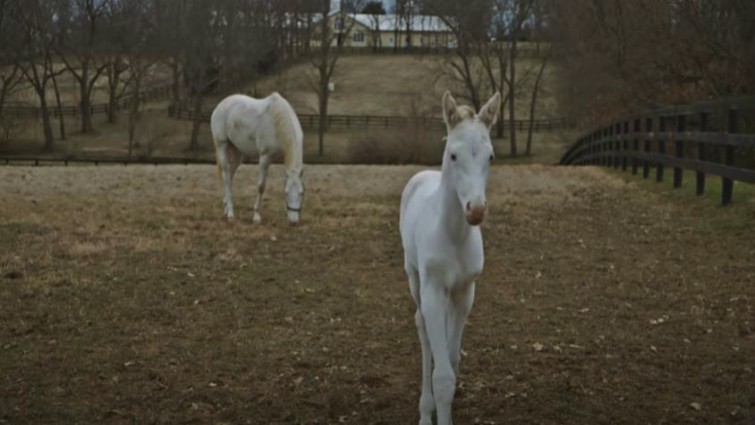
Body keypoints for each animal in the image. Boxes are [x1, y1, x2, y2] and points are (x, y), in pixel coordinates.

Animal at [210, 92, 304, 225]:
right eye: (286, 192)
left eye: (301, 193)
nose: (294, 221)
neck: (277, 122)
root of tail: (220, 105)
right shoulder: (265, 157)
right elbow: (261, 186)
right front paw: (256, 216)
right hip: (222, 145)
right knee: (227, 177)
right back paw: (230, 214)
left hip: (237, 152)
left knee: (229, 175)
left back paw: (226, 207)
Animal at [398, 90, 500, 424]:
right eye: (454, 155)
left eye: (490, 156)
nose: (476, 210)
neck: (454, 235)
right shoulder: (432, 289)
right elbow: (442, 377)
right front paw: (434, 409)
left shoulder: (465, 291)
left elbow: (452, 361)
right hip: (415, 277)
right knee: (422, 329)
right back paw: (424, 409)